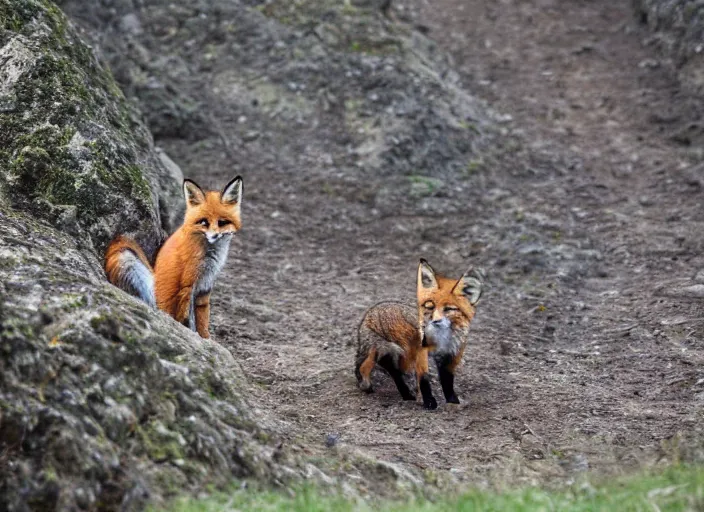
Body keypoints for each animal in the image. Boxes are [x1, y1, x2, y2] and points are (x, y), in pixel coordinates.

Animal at [103, 177, 243, 340]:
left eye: (222, 222)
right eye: (204, 222)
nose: (214, 236)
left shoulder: (204, 288)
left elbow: (203, 322)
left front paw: (205, 339)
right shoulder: (187, 286)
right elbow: (190, 321)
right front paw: (195, 336)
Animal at [354, 258, 482, 410]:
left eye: (449, 309)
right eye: (430, 306)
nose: (435, 321)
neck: (443, 338)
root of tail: (369, 313)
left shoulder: (450, 355)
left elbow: (448, 381)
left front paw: (452, 401)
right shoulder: (422, 350)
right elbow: (424, 378)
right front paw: (428, 402)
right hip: (394, 348)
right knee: (381, 368)